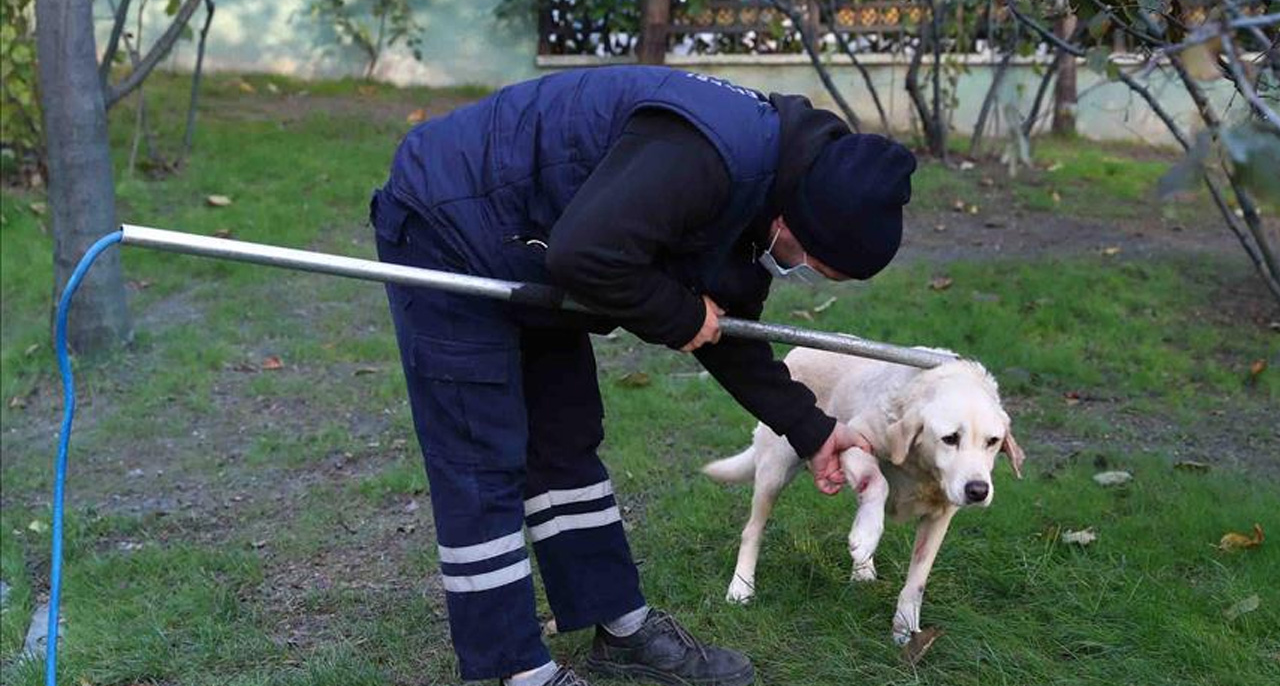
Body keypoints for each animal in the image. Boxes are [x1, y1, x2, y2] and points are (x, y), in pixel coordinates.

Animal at [706, 348, 1024, 642]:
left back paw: (862, 568)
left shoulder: (940, 517)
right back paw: (742, 586)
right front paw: (867, 534)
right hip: (775, 472)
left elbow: (917, 581)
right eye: (950, 439)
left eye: (993, 442)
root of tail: (797, 351)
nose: (978, 491)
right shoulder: (851, 441)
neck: (921, 466)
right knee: (752, 530)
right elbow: (879, 483)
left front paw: (904, 626)